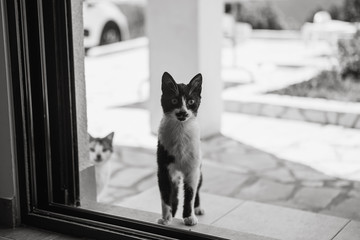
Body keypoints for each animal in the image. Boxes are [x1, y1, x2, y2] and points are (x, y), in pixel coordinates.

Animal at [156, 72, 204, 226]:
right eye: (174, 100)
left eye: (191, 102)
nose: (183, 112)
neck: (181, 131)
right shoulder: (164, 168)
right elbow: (166, 194)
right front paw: (166, 218)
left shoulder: (193, 169)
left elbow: (190, 193)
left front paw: (189, 217)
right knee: (174, 193)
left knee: (197, 188)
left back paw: (198, 208)